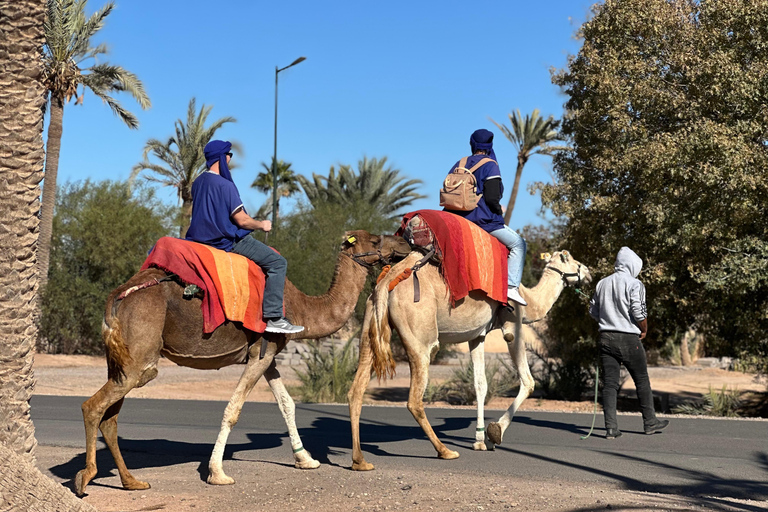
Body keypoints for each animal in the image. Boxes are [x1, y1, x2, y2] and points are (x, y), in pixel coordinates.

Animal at [75, 231, 405, 495]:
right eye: (375, 240)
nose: (403, 241)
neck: (300, 307)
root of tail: (117, 297)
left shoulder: (266, 353)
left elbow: (287, 404)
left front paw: (306, 459)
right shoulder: (263, 349)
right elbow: (233, 409)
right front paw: (218, 473)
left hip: (121, 360)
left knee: (110, 417)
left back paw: (131, 481)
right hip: (140, 358)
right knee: (94, 406)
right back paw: (86, 478)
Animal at [348, 249, 591, 470]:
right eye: (571, 259)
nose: (588, 272)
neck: (529, 300)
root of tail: (385, 284)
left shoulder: (477, 336)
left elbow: (480, 385)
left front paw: (480, 440)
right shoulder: (513, 326)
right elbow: (528, 381)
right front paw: (495, 433)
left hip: (371, 327)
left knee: (356, 390)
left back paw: (360, 461)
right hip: (420, 337)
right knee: (414, 399)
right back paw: (445, 451)